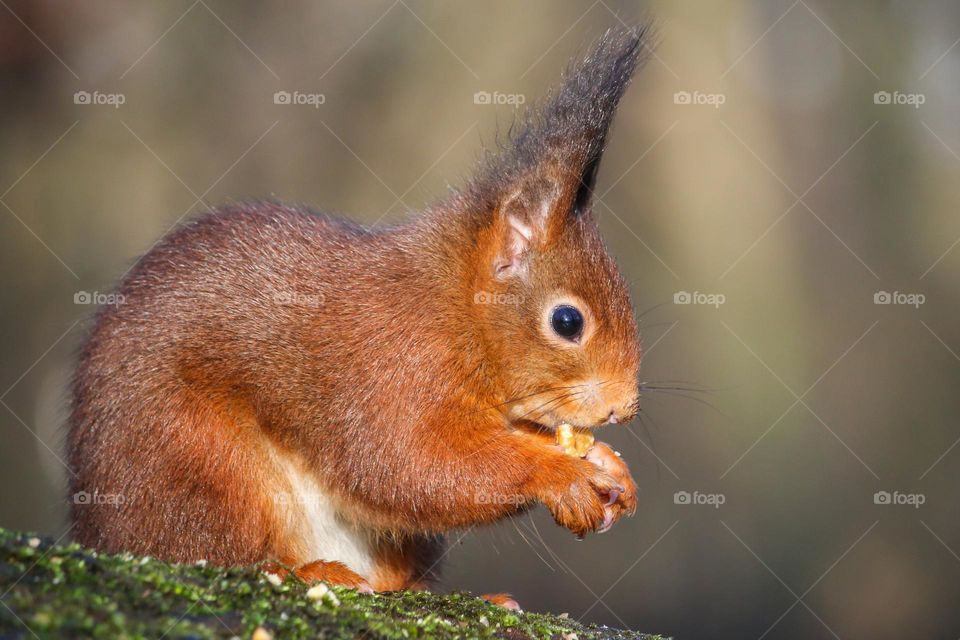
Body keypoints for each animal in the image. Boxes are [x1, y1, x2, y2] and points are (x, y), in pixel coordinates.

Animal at [67, 26, 648, 604]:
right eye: (568, 322)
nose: (623, 409)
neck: (456, 311)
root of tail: (96, 530)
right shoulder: (393, 369)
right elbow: (414, 464)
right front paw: (561, 475)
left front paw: (606, 463)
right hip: (198, 465)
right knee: (221, 551)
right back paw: (309, 572)